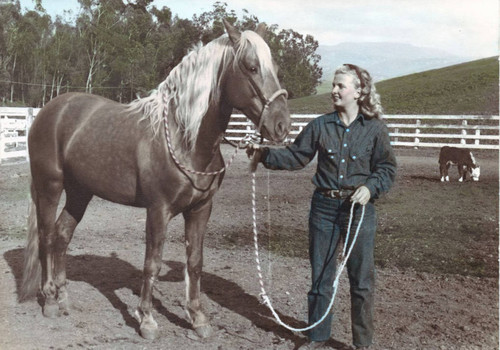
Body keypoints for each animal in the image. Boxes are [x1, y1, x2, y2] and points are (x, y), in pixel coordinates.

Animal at [19, 19, 292, 340]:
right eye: (251, 66)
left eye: (275, 66)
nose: (282, 125)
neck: (184, 138)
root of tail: (50, 111)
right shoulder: (158, 210)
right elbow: (152, 264)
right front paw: (147, 320)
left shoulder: (200, 210)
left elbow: (195, 263)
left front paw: (198, 319)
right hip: (50, 186)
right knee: (47, 237)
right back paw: (49, 300)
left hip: (79, 192)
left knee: (62, 235)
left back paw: (63, 299)